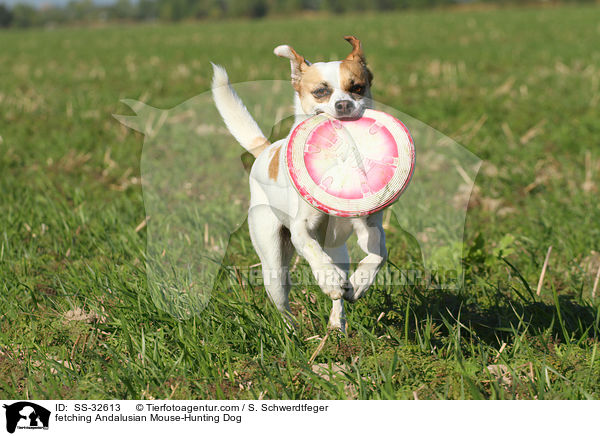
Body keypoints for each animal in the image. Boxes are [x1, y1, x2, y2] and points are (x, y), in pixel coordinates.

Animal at [213, 37, 386, 332]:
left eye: (357, 88)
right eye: (320, 92)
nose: (343, 105)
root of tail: (265, 151)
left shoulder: (370, 225)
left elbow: (378, 254)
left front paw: (361, 283)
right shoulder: (301, 227)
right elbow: (314, 253)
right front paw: (328, 279)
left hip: (338, 249)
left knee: (339, 285)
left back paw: (336, 323)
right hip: (272, 260)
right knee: (282, 299)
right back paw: (292, 330)